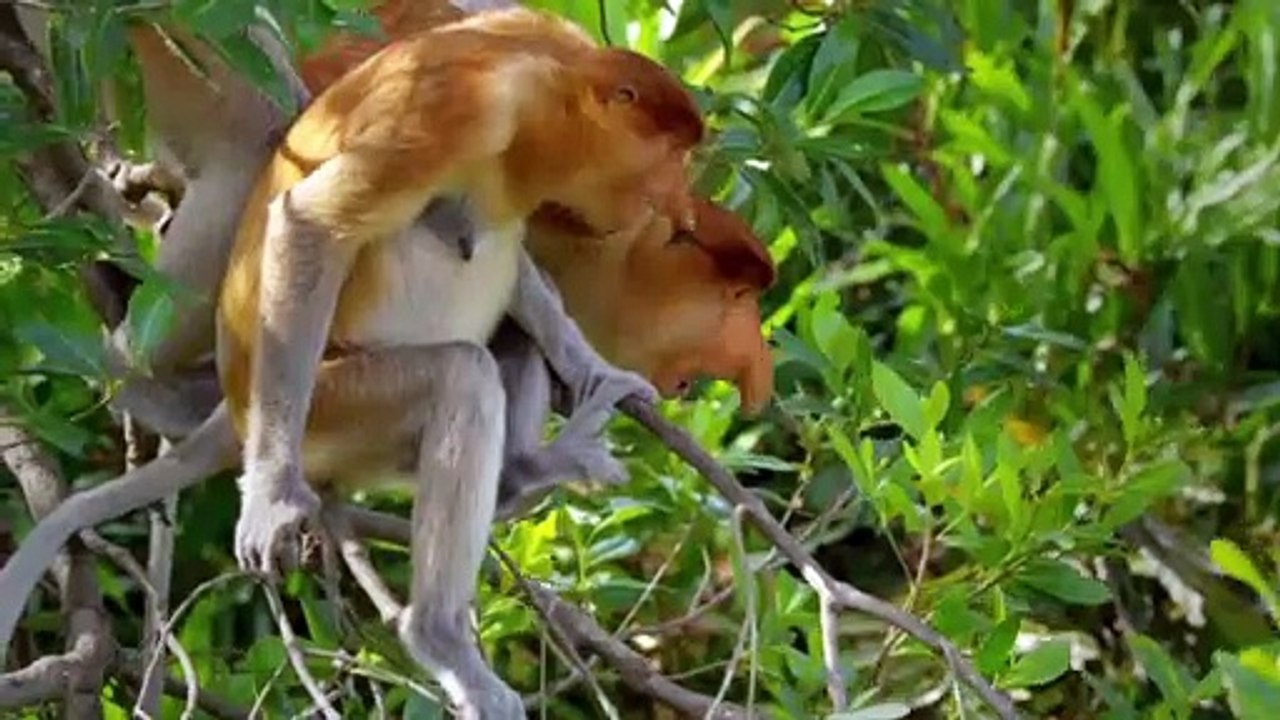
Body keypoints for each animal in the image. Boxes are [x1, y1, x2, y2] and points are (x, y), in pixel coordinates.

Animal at [215, 8, 703, 716]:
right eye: (671, 157)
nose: (674, 204)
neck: (550, 87)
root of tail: (236, 407)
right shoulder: (463, 114)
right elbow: (310, 224)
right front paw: (272, 497)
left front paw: (595, 371)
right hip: (332, 414)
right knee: (461, 375)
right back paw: (441, 640)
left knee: (510, 321)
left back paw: (527, 468)